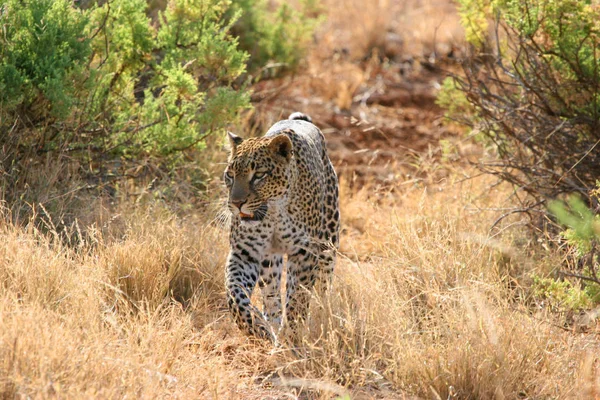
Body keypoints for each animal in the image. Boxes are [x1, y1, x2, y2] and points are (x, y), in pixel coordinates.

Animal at [223, 111, 340, 340]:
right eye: (230, 175)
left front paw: (291, 337)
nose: (236, 203)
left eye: (259, 175)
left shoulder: (305, 252)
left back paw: (323, 313)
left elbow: (298, 299)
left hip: (329, 241)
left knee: (323, 284)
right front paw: (256, 328)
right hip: (270, 261)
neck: (274, 214)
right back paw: (272, 323)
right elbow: (235, 293)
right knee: (271, 294)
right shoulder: (245, 252)